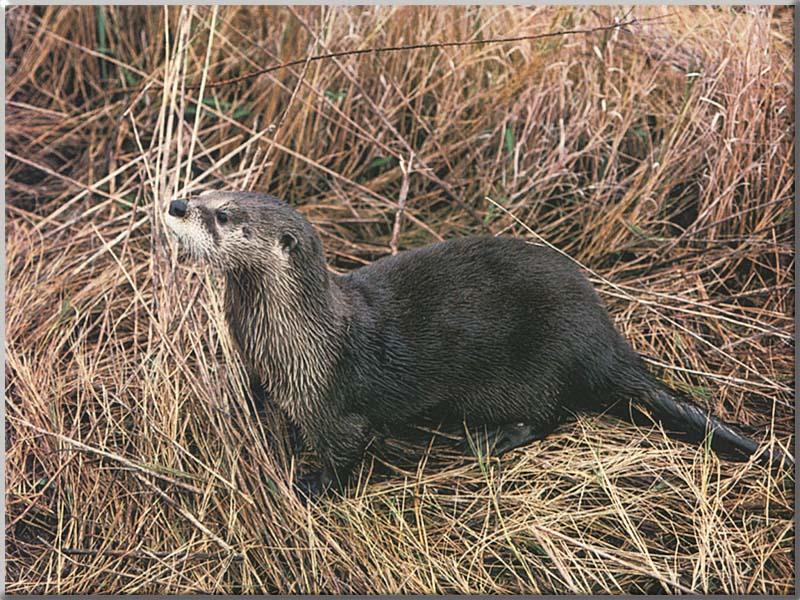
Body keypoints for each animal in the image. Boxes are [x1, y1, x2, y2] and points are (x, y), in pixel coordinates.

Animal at [164, 192, 788, 496]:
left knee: (551, 414)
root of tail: (602, 335)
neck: (296, 337)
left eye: (223, 215)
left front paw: (313, 484)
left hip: (531, 369)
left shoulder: (333, 398)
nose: (175, 204)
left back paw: (493, 439)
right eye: (206, 187)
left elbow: (347, 444)